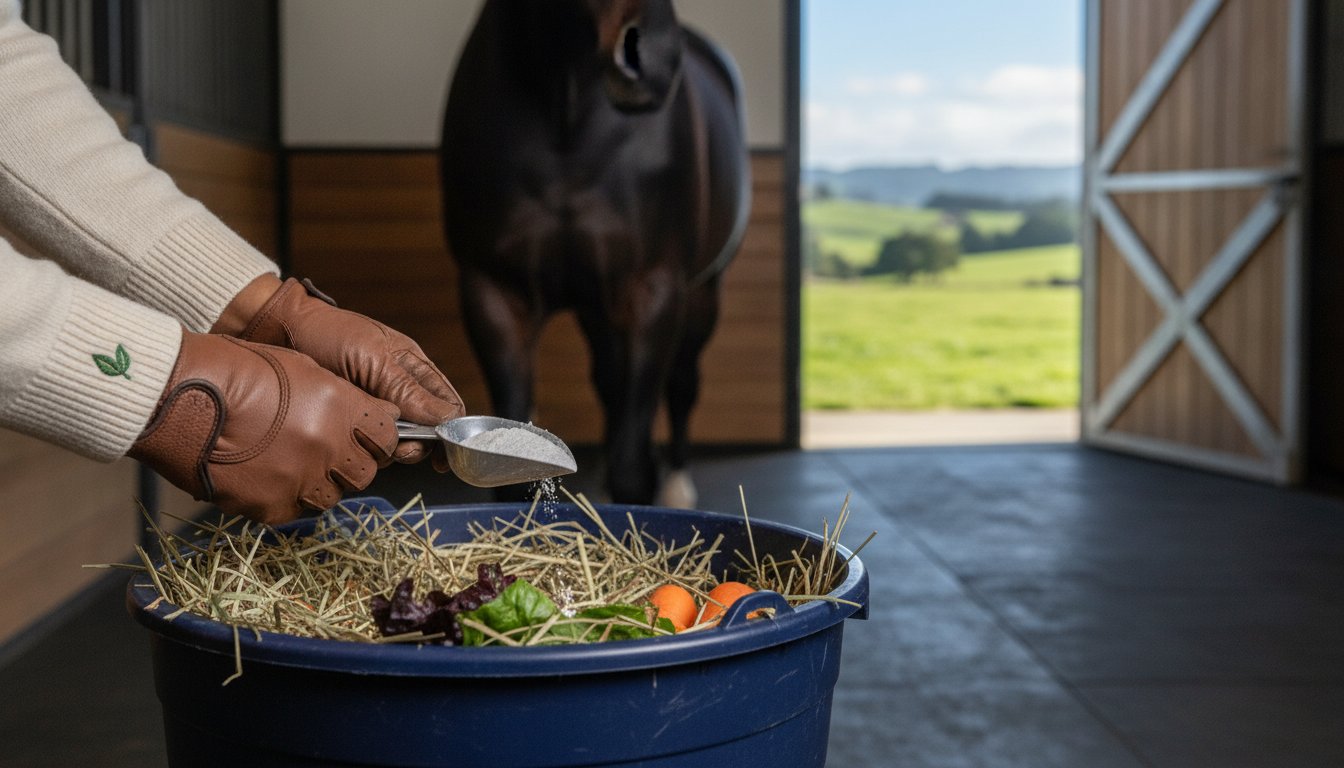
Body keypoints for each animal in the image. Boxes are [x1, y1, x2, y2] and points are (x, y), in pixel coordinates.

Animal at [439, 0, 749, 506]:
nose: (654, 61)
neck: (566, 118)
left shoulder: (653, 291)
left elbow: (632, 470)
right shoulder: (493, 293)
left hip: (703, 293)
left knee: (682, 385)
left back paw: (678, 486)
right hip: (595, 308)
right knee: (612, 382)